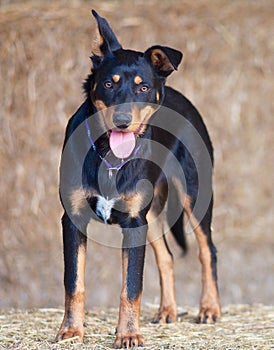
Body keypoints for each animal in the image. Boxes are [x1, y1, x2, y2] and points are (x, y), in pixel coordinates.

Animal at [55, 9, 220, 348]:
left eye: (143, 88)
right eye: (108, 83)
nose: (122, 121)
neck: (109, 157)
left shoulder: (133, 223)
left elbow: (130, 287)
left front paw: (129, 334)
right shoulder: (74, 218)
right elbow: (74, 282)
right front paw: (71, 330)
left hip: (194, 194)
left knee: (206, 250)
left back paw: (209, 308)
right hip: (152, 214)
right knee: (167, 256)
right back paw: (168, 311)